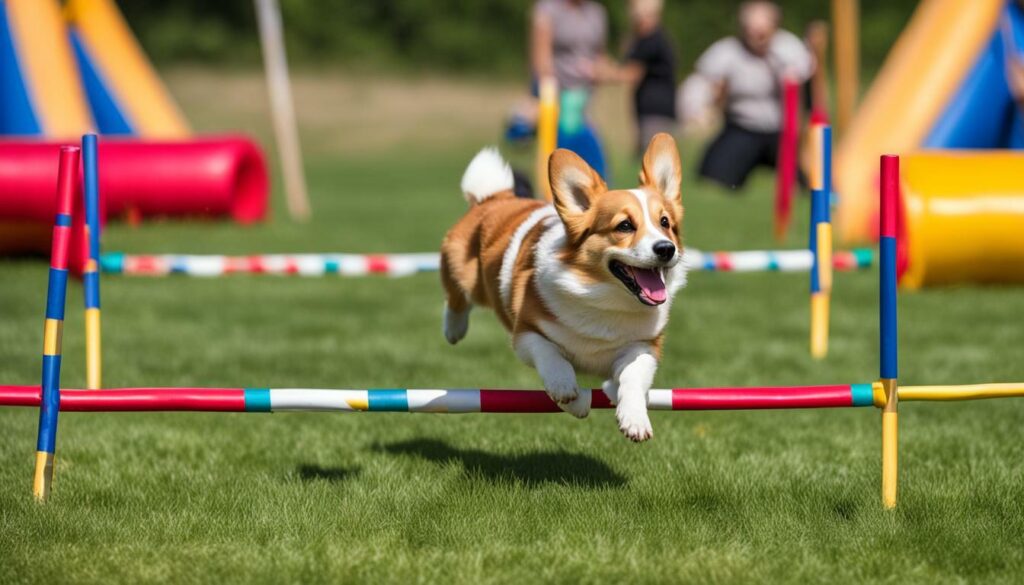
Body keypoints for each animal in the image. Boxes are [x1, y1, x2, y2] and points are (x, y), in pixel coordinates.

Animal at [442, 135, 688, 442]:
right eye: (625, 225)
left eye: (665, 222)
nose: (666, 249)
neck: (605, 299)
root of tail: (495, 197)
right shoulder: (526, 332)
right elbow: (552, 360)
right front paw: (571, 393)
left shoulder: (645, 346)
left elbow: (632, 375)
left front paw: (632, 417)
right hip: (464, 273)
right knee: (455, 296)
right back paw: (454, 329)